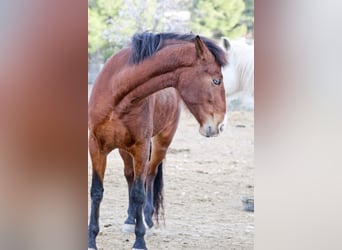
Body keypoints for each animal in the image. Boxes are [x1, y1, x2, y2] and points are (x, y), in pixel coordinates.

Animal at [87, 31, 227, 250]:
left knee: (150, 176)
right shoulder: (96, 146)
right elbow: (96, 191)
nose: (220, 126)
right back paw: (130, 220)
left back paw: (147, 220)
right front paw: (91, 241)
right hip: (124, 150)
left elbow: (139, 193)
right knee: (130, 175)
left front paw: (140, 241)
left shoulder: (142, 147)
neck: (118, 94)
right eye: (216, 81)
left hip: (161, 143)